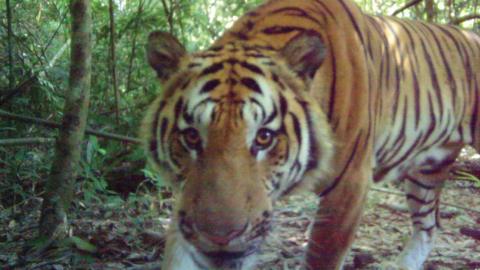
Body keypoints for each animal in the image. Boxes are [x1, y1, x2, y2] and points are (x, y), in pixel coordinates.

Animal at [141, 0, 478, 268]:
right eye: (191, 136)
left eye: (264, 137)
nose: (218, 237)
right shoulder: (187, 201)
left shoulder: (349, 186)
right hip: (427, 172)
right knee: (429, 225)